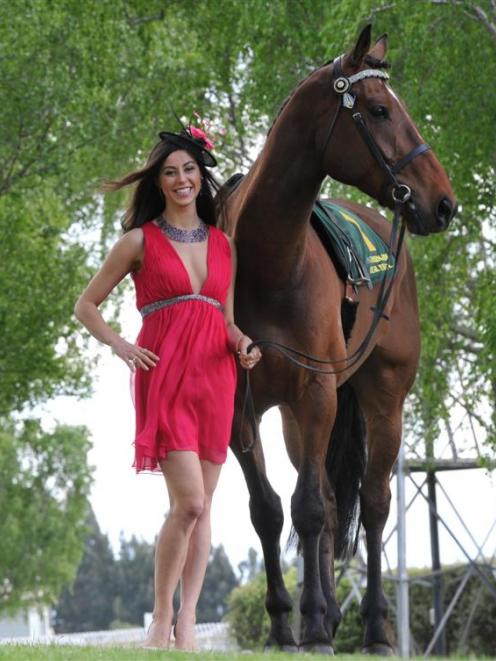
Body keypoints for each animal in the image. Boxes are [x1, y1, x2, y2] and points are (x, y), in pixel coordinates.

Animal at [221, 25, 458, 656]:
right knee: (329, 504)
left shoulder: (318, 392)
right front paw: (287, 624)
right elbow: (270, 511)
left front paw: (310, 625)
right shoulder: (244, 410)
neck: (271, 264)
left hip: (383, 399)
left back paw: (373, 626)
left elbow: (306, 509)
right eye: (378, 110)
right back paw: (327, 613)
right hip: (297, 418)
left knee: (372, 505)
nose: (443, 202)